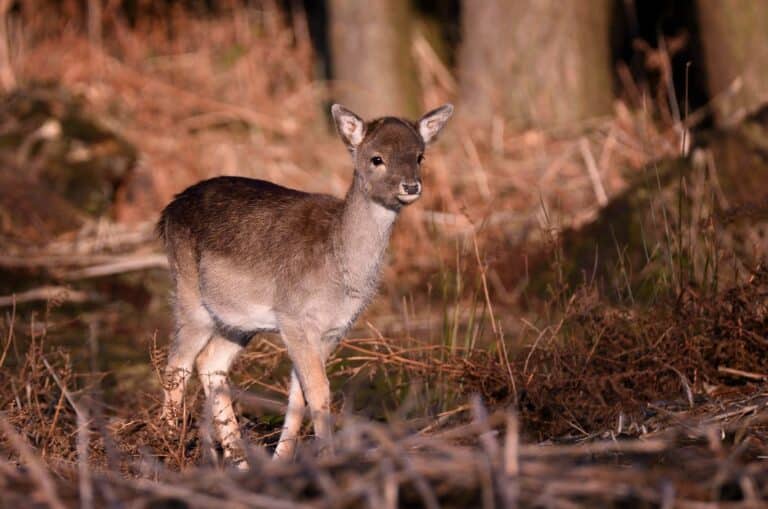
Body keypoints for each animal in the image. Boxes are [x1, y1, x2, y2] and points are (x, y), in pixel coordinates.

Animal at [158, 103, 453, 465]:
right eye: (377, 158)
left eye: (420, 156)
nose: (410, 186)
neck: (340, 274)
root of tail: (167, 211)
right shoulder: (294, 318)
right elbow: (319, 390)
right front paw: (328, 457)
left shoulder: (333, 330)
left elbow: (299, 394)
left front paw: (282, 460)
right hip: (189, 294)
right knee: (177, 365)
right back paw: (170, 450)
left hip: (237, 322)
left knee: (211, 363)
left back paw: (239, 461)